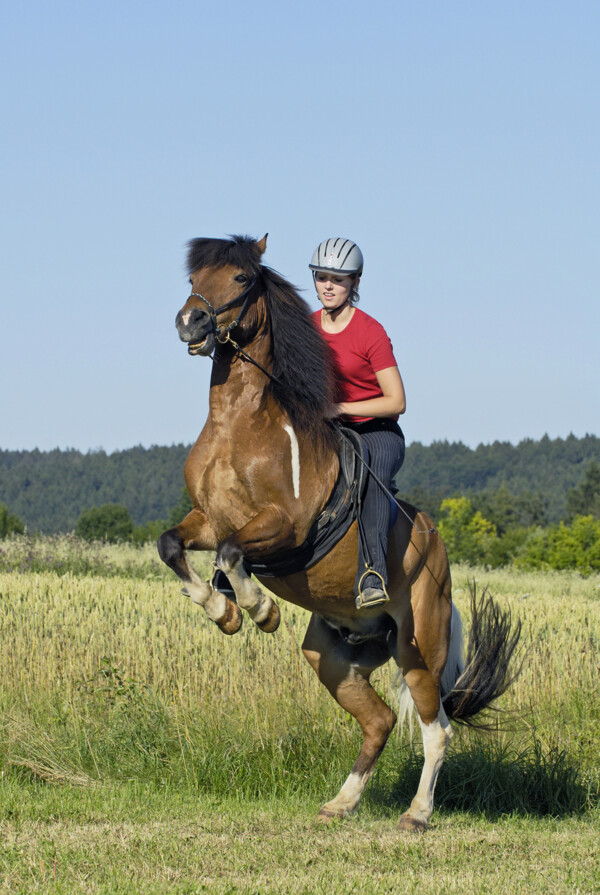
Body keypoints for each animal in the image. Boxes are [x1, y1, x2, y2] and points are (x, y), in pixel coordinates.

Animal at [159, 233, 520, 832]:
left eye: (241, 278)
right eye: (194, 277)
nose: (190, 323)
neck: (239, 424)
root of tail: (439, 554)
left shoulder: (283, 526)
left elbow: (234, 554)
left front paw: (258, 609)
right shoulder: (206, 519)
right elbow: (171, 545)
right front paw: (221, 609)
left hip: (419, 650)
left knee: (436, 729)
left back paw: (417, 814)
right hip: (333, 657)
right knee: (378, 722)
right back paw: (342, 802)